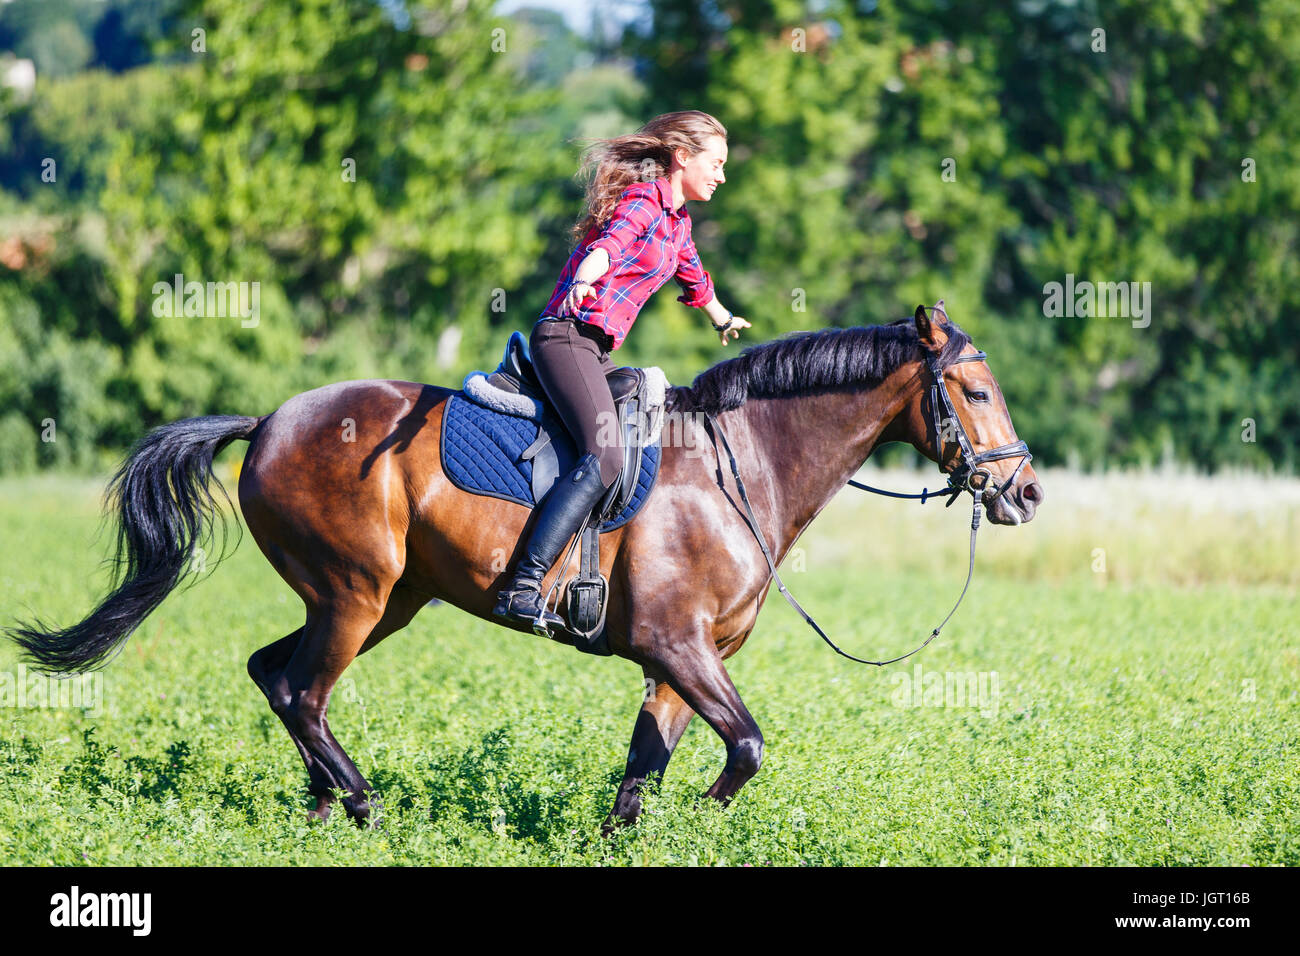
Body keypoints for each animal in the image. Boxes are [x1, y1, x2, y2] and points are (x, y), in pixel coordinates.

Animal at [7, 303, 1042, 835]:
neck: (737, 469)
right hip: (357, 593)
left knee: (277, 675)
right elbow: (744, 748)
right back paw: (364, 805)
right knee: (302, 690)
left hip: (385, 599)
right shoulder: (677, 645)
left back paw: (321, 809)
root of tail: (266, 422)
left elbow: (644, 770)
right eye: (974, 389)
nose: (1025, 492)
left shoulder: (683, 661)